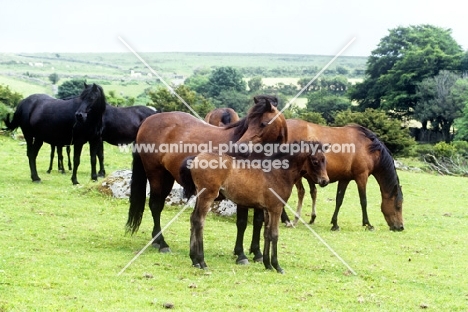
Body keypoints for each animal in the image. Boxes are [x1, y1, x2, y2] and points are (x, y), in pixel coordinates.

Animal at [125, 95, 288, 254]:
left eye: (263, 123)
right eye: (249, 123)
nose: (241, 148)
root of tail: (148, 120)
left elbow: (258, 222)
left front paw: (257, 253)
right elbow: (242, 223)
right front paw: (241, 254)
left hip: (167, 177)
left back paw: (157, 240)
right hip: (156, 174)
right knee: (155, 205)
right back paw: (162, 243)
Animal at [179, 141, 330, 272]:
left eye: (325, 160)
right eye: (315, 161)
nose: (325, 181)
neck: (277, 173)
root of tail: (197, 157)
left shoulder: (267, 210)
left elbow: (266, 234)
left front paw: (267, 265)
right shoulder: (276, 209)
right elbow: (274, 234)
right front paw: (277, 266)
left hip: (199, 196)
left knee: (193, 219)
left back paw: (194, 260)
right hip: (208, 196)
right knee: (199, 221)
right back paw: (202, 262)